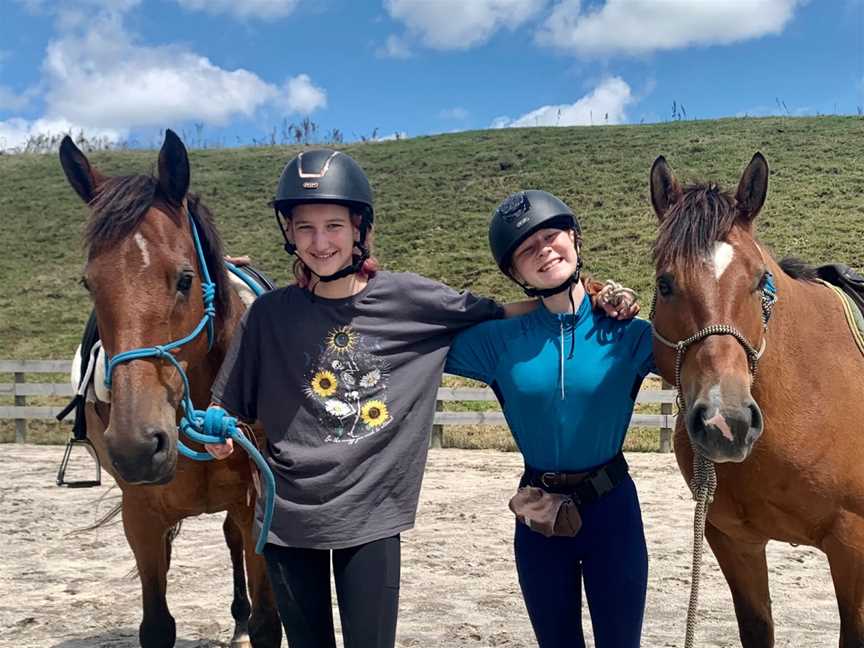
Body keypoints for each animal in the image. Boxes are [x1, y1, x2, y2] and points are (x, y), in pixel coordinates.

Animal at [58, 130, 280, 648]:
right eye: (89, 283)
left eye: (184, 279)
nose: (138, 445)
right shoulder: (140, 515)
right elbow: (156, 626)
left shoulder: (255, 504)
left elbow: (268, 624)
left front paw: (252, 620)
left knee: (232, 540)